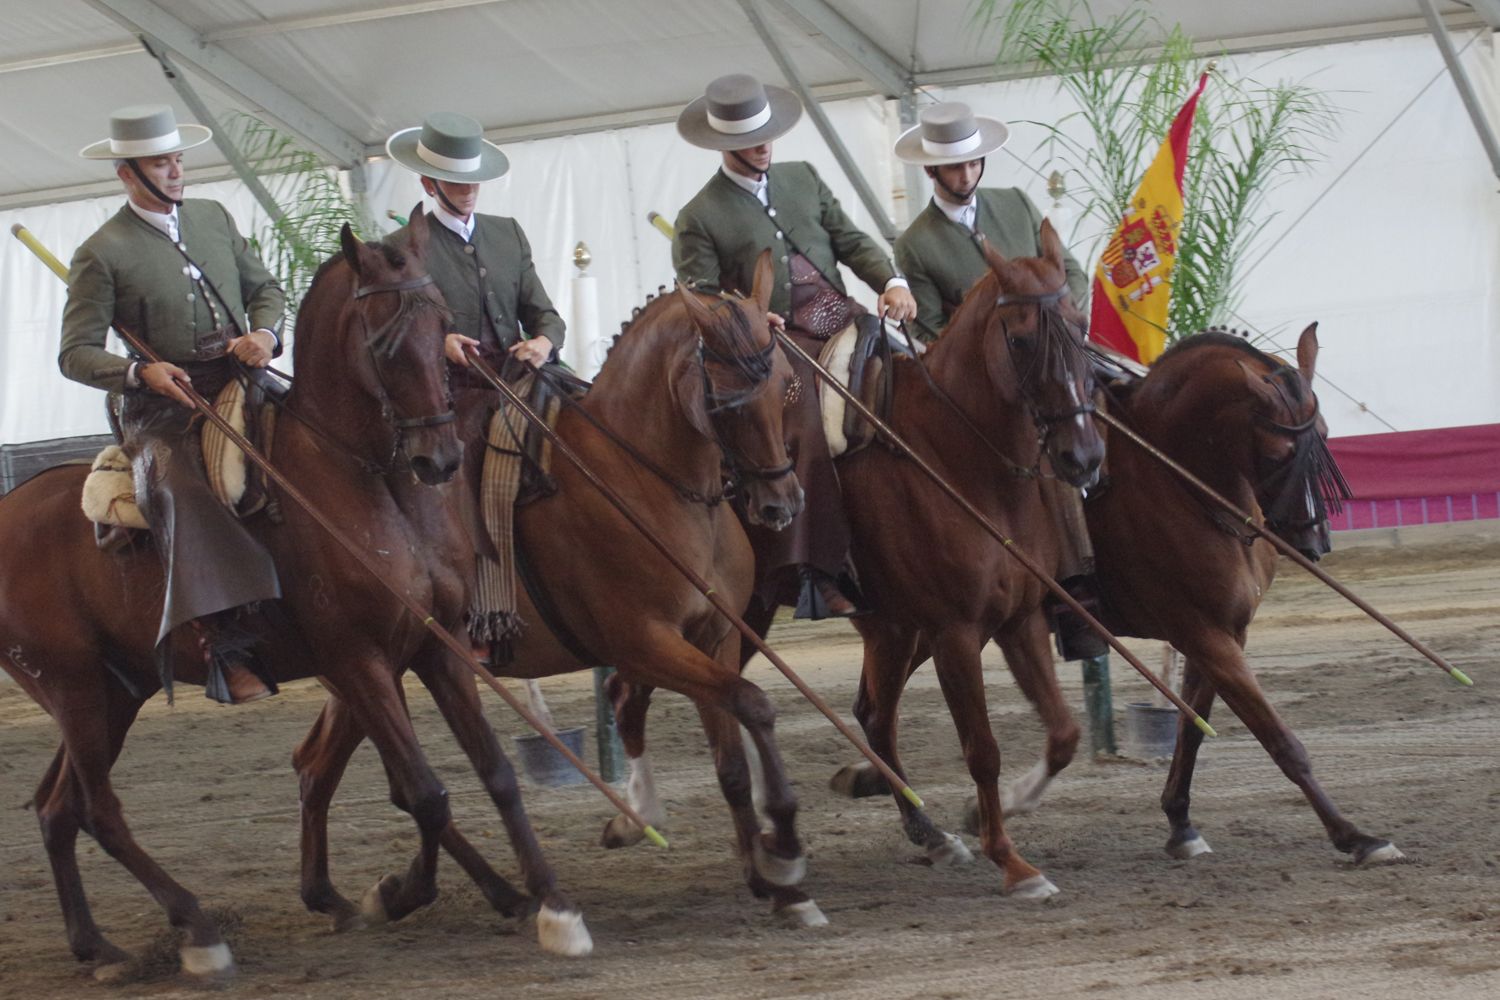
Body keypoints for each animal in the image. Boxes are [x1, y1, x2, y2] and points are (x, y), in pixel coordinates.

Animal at [0, 215, 594, 983]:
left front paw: (551, 903)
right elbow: (423, 792)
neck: (363, 481)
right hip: (72, 688)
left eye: (441, 325)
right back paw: (197, 930)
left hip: (113, 692)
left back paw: (98, 946)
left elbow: (493, 773)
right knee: (98, 810)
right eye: (383, 340)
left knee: (56, 806)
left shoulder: (436, 647)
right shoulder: (356, 660)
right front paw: (403, 892)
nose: (438, 460)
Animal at [285, 251, 834, 929]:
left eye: (785, 382)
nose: (781, 503)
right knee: (386, 780)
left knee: (320, 767)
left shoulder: (716, 635)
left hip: (374, 667)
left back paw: (361, 892)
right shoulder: (645, 644)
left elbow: (732, 759)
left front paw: (772, 881)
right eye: (727, 397)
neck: (644, 477)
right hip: (369, 664)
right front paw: (783, 850)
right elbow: (754, 704)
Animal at [597, 224, 1104, 899]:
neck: (955, 455)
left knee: (857, 713)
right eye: (1020, 338)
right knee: (630, 692)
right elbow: (982, 749)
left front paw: (985, 817)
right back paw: (641, 819)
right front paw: (1011, 861)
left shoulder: (1016, 620)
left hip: (790, 621)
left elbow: (1064, 733)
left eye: (1079, 324)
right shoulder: (955, 632)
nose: (1083, 456)